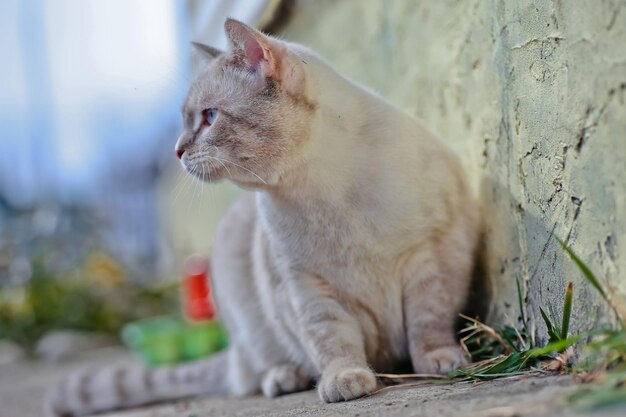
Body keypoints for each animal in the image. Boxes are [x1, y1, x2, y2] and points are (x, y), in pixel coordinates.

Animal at [47, 17, 478, 416]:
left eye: (209, 117)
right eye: (188, 120)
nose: (176, 150)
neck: (327, 193)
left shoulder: (430, 255)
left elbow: (428, 321)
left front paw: (440, 361)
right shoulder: (305, 286)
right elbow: (332, 339)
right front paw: (344, 379)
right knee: (252, 373)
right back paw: (286, 377)